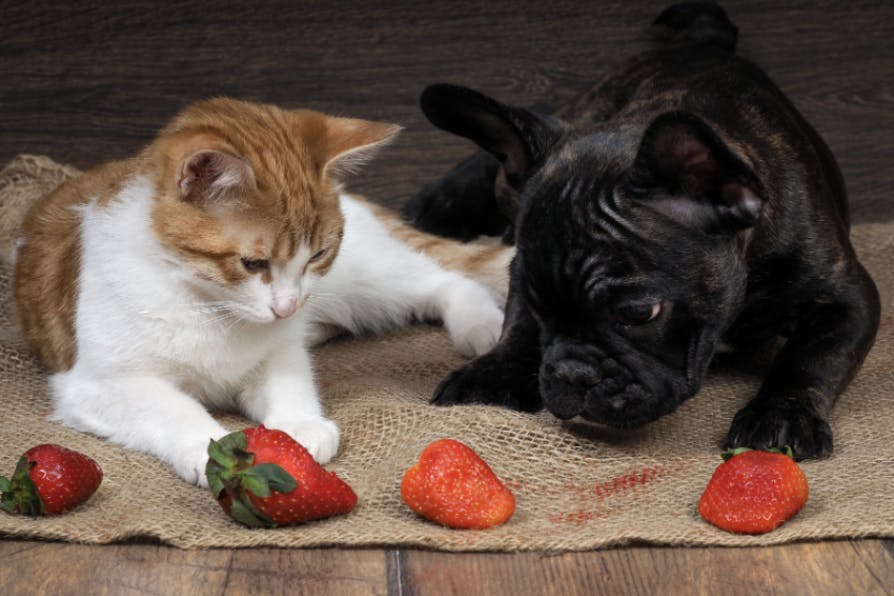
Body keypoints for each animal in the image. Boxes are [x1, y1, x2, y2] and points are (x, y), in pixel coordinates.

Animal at [12, 98, 512, 486]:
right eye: (253, 264)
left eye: (318, 255)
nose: (288, 307)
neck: (209, 307)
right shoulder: (99, 385)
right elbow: (173, 409)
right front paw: (210, 446)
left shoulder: (280, 348)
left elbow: (288, 379)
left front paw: (299, 425)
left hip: (363, 279)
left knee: (447, 280)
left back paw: (481, 326)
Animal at [410, 2, 884, 458]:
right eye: (537, 303)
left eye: (638, 314)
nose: (573, 372)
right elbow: (517, 326)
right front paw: (493, 373)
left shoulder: (846, 298)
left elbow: (813, 357)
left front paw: (780, 414)